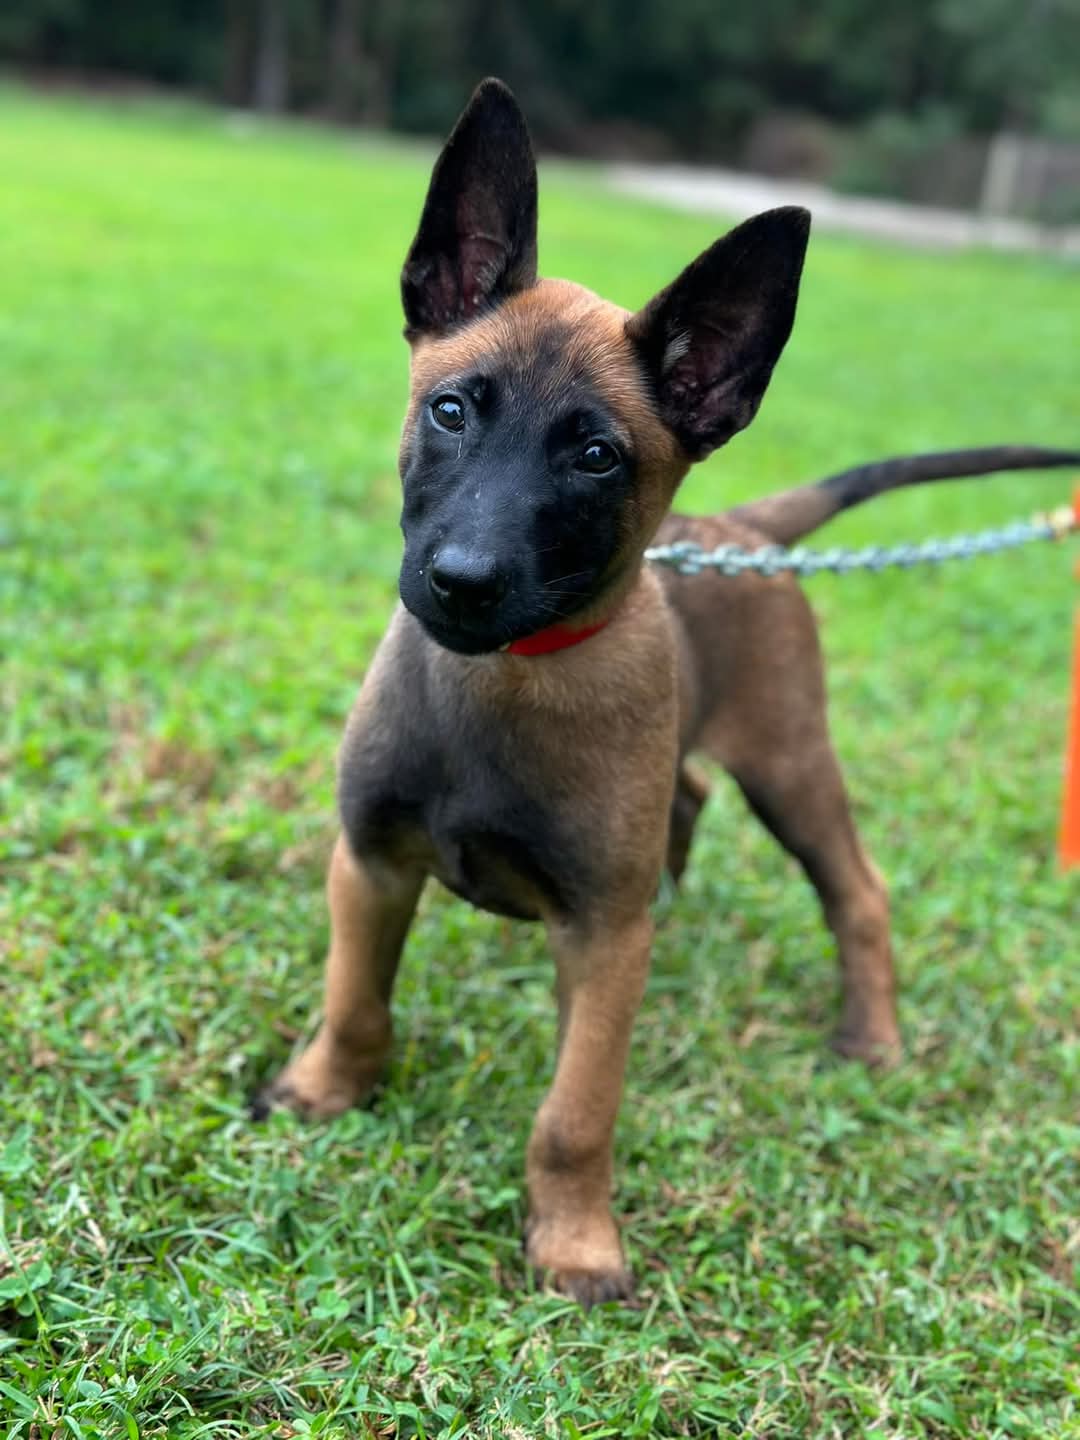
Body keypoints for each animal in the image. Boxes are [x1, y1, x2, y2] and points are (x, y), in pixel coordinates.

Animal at [255, 79, 1080, 1305]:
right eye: (451, 410)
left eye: (596, 455)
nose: (461, 582)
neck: (508, 679)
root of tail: (745, 531)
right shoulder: (371, 860)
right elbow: (355, 1001)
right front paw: (323, 1091)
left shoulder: (602, 940)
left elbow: (573, 1114)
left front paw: (576, 1241)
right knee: (685, 800)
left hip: (790, 764)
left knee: (858, 890)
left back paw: (869, 1035)